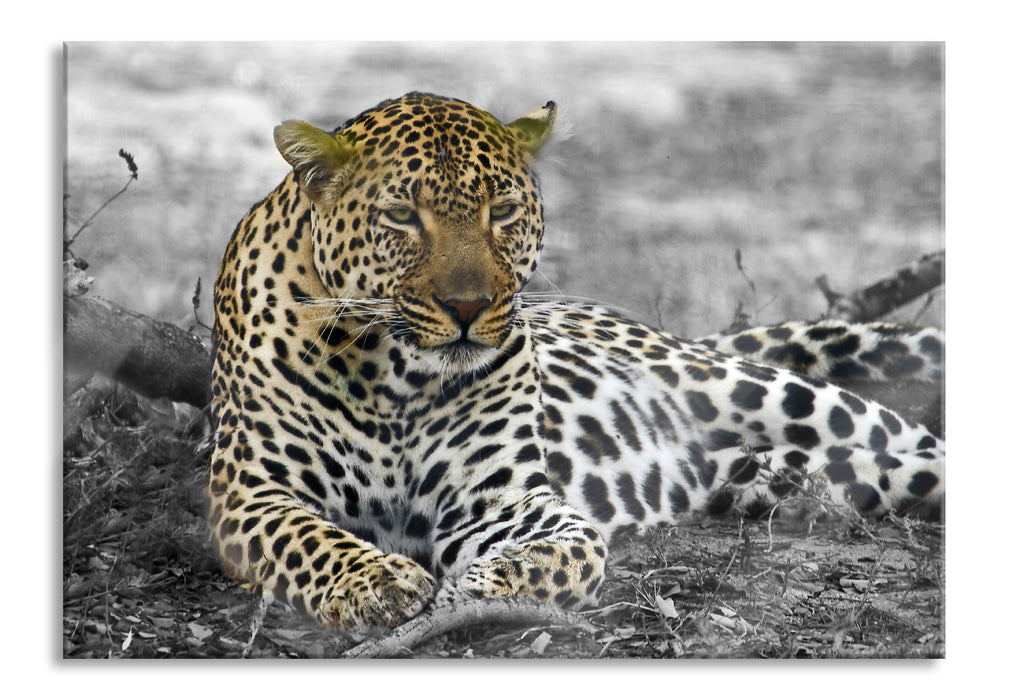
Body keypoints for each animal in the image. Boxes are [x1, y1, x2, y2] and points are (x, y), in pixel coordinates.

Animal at [208, 91, 944, 628]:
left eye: (502, 211)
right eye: (401, 217)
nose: (468, 306)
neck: (395, 376)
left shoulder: (503, 501)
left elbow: (570, 549)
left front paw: (482, 586)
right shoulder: (250, 493)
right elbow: (308, 539)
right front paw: (376, 581)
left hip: (756, 389)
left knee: (913, 438)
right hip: (772, 469)